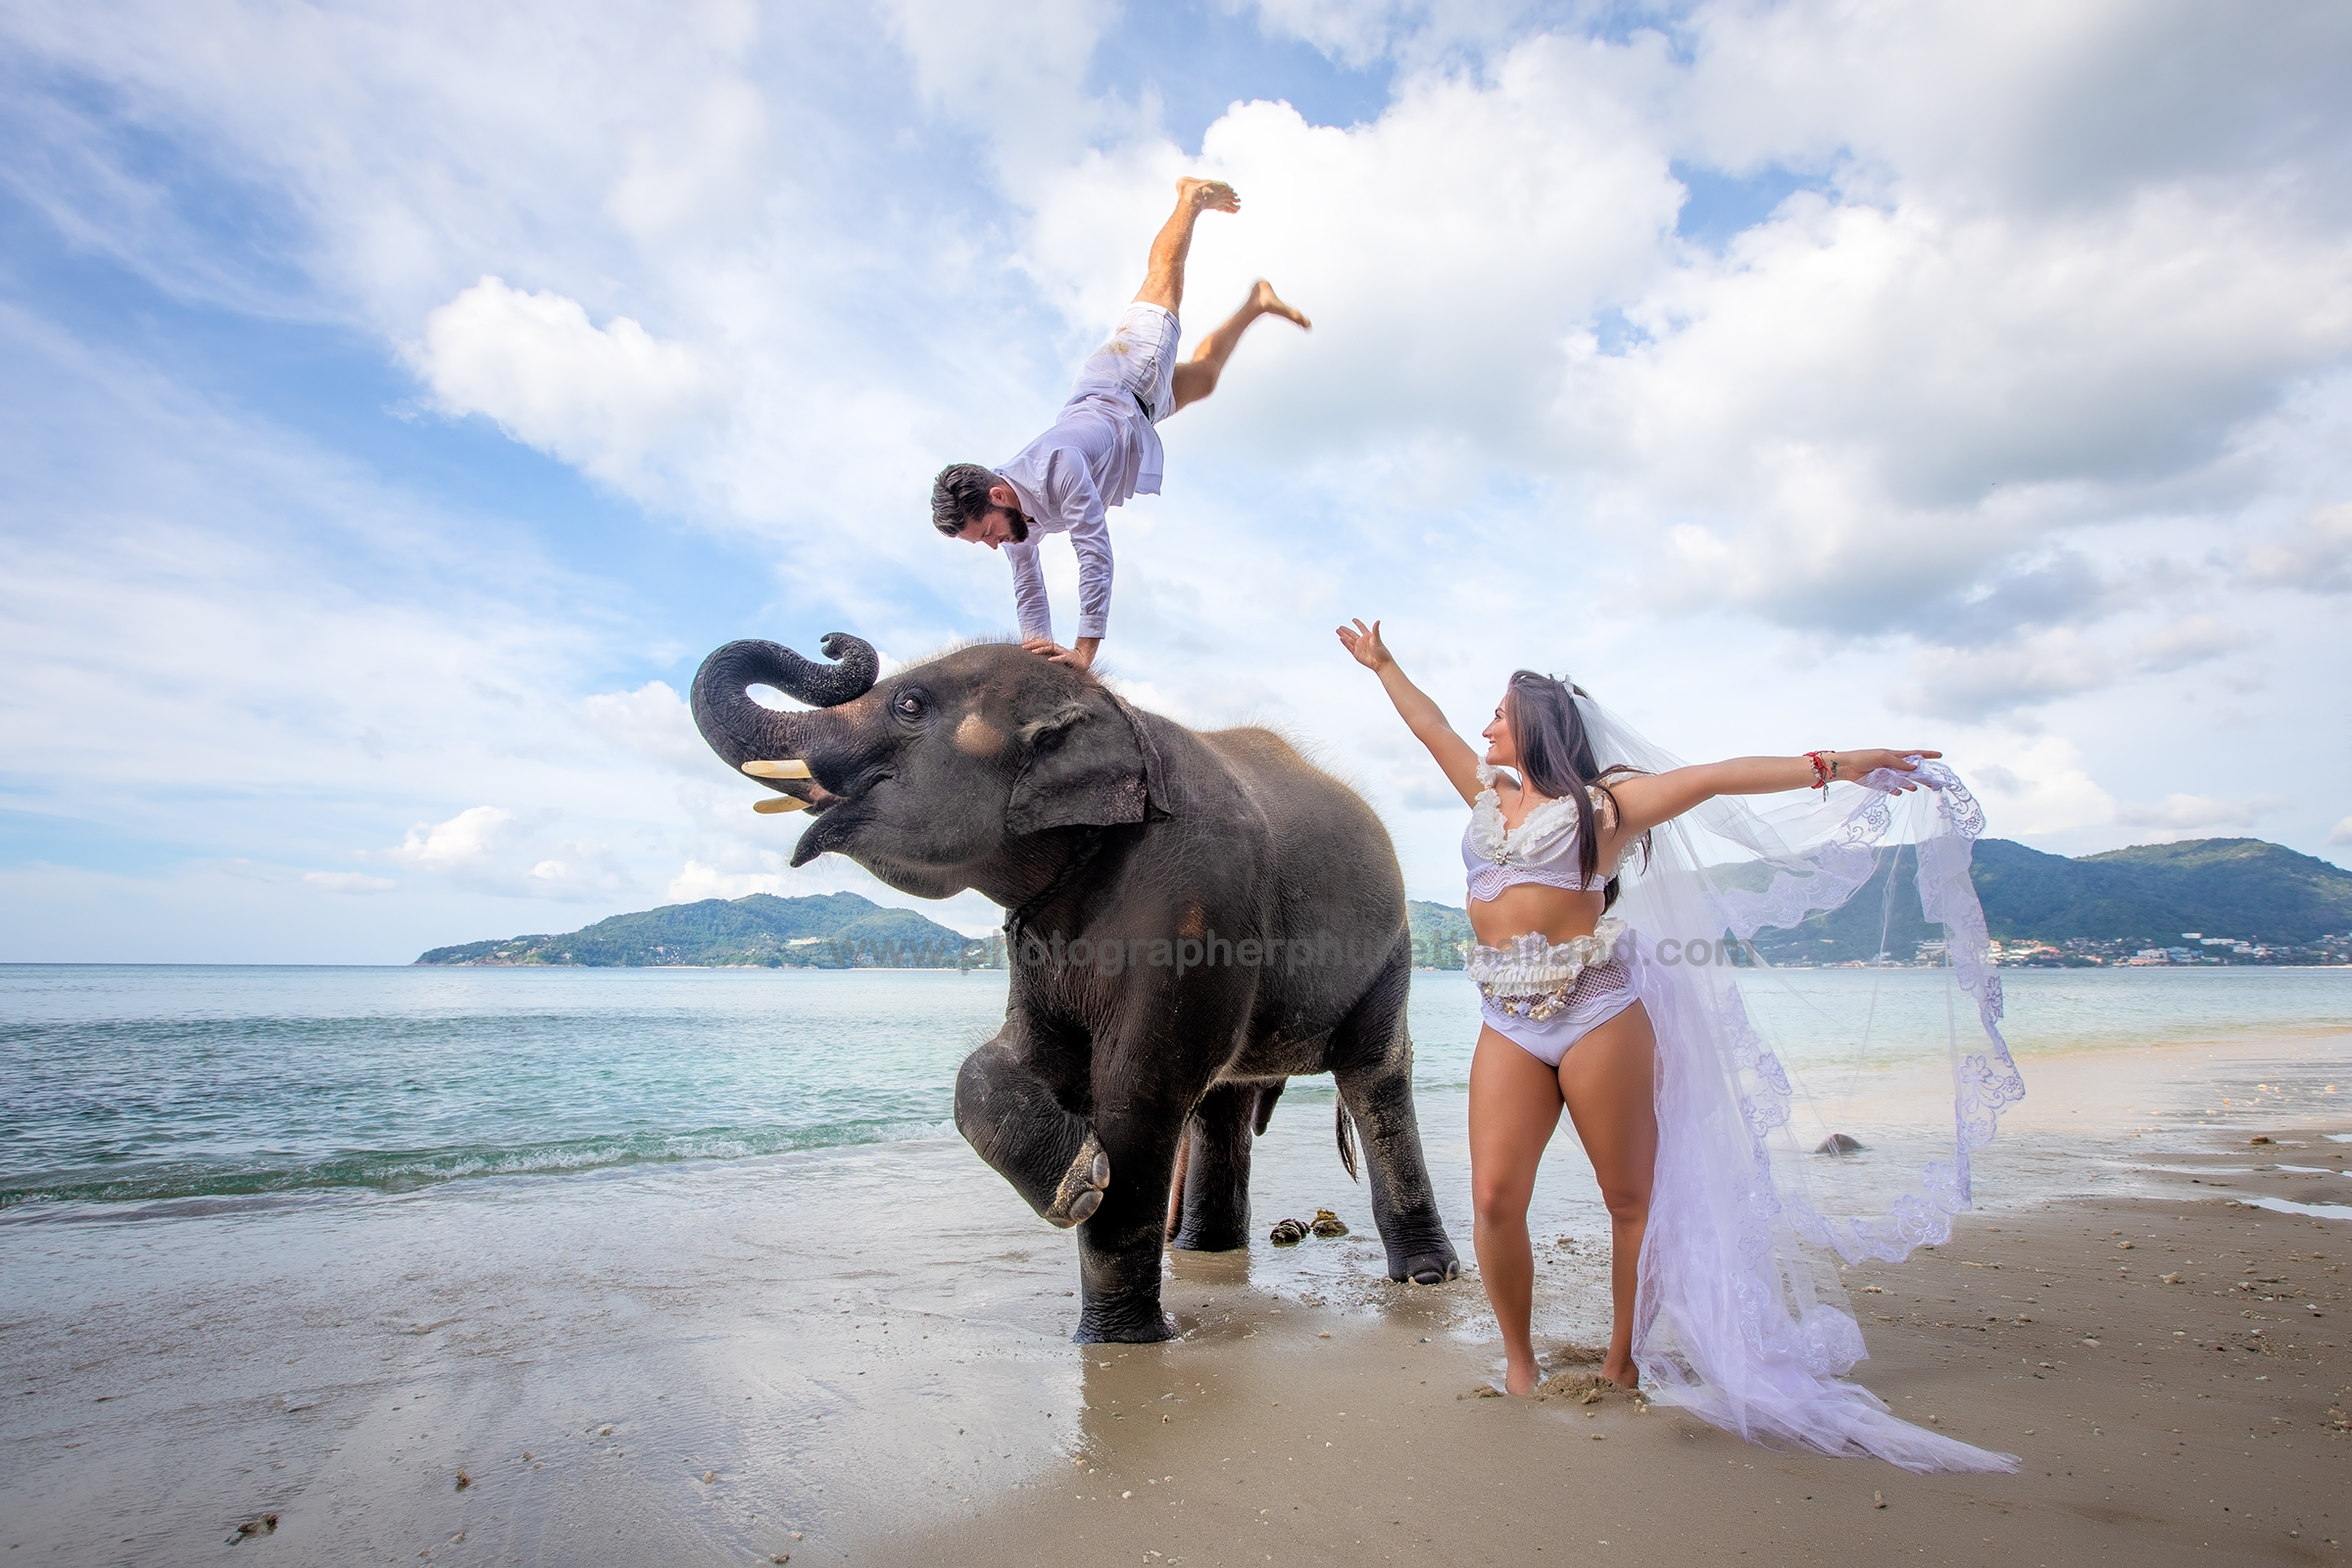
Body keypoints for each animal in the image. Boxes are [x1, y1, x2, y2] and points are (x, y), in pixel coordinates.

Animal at [691, 632, 1460, 1342]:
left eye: (909, 706)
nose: (833, 641)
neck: (1114, 710)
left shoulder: (1198, 903)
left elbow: (1138, 1085)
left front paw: (1119, 1333)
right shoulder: (1040, 935)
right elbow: (1013, 1057)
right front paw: (1080, 1184)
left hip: (1392, 951)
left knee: (1374, 1074)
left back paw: (1427, 1277)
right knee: (1223, 1103)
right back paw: (1207, 1252)